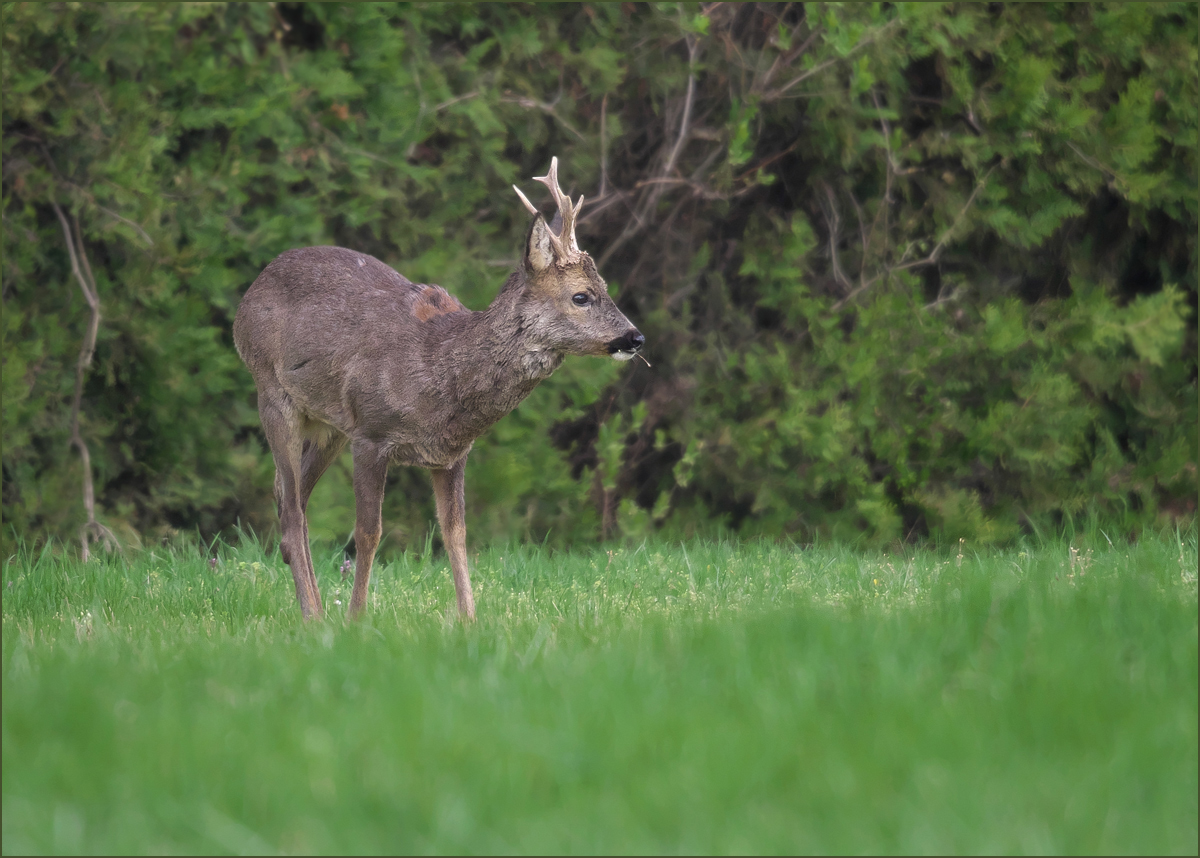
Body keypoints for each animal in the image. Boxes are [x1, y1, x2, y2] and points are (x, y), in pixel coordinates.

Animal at [236, 157, 648, 619]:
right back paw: (313, 615)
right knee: (291, 511)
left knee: (290, 498)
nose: (635, 338)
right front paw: (357, 618)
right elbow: (368, 533)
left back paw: (316, 609)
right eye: (581, 296)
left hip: (329, 425)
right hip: (272, 390)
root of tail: (253, 289)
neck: (439, 378)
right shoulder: (371, 435)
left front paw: (469, 619)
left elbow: (456, 533)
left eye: (607, 288)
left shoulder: (451, 453)